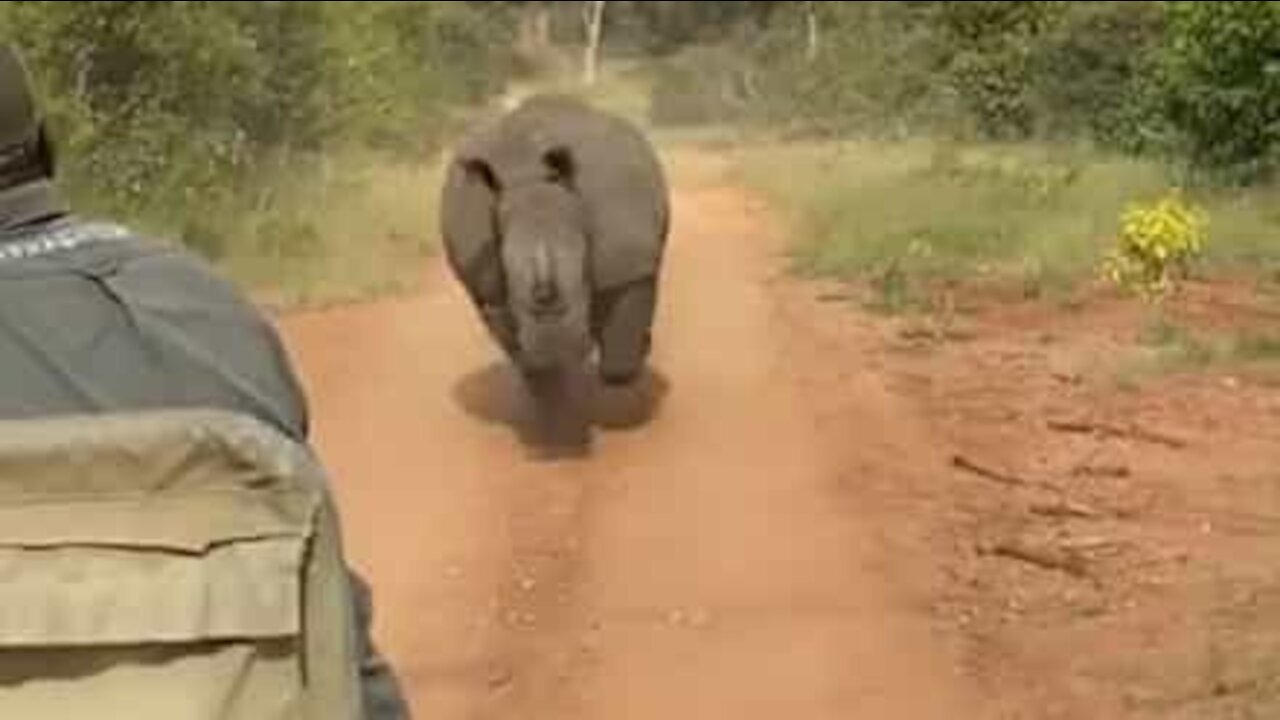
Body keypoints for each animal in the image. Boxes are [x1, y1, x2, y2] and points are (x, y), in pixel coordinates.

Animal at [440, 94, 670, 389]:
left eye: (583, 264)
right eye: (505, 267)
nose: (555, 350)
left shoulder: (629, 257)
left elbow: (624, 318)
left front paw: (625, 368)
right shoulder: (486, 279)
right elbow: (501, 320)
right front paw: (542, 378)